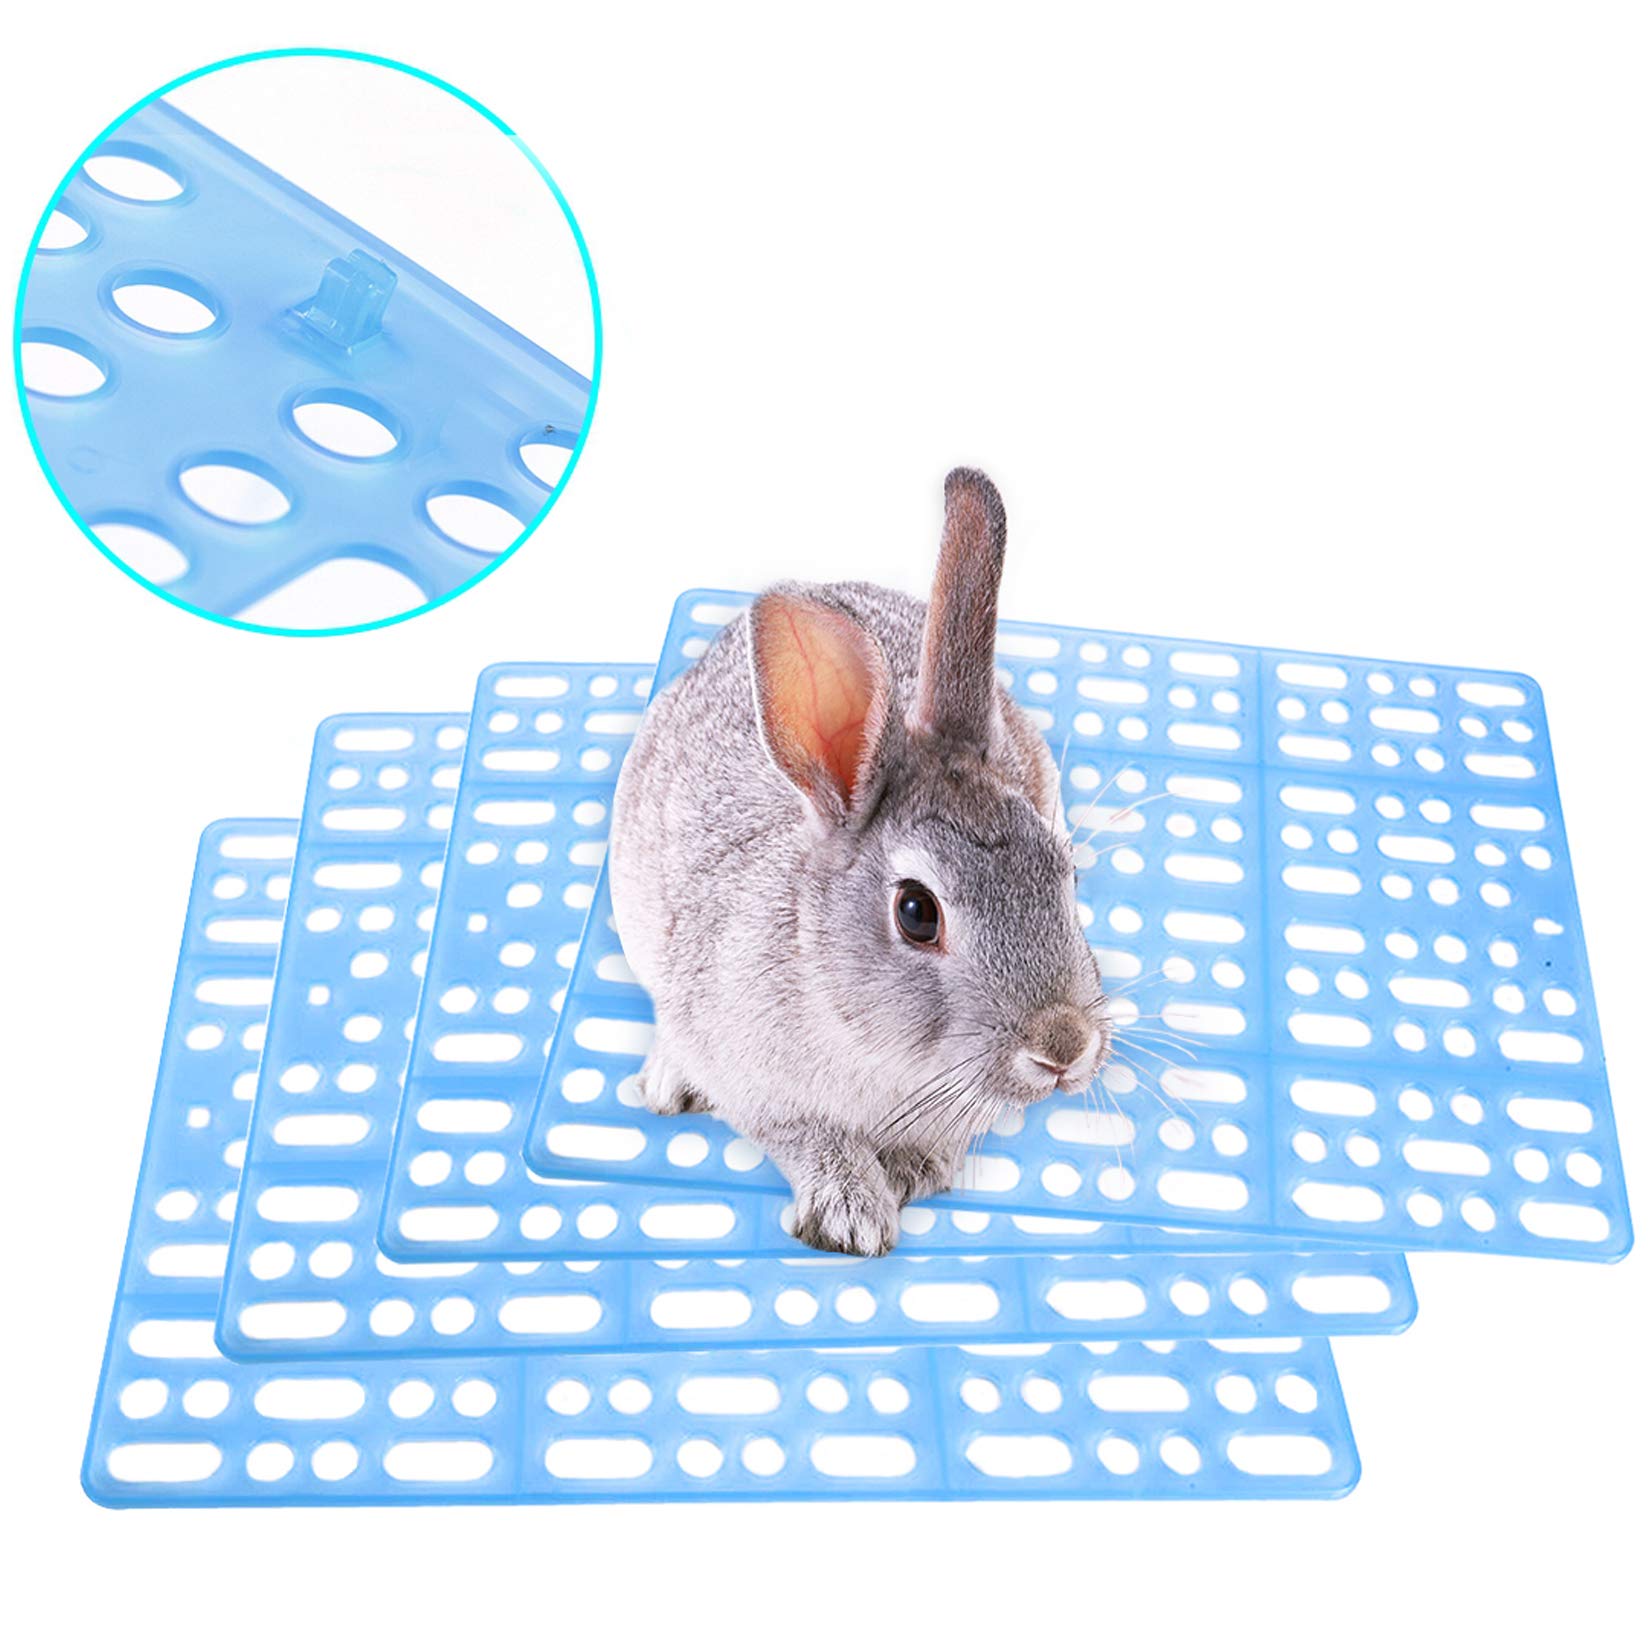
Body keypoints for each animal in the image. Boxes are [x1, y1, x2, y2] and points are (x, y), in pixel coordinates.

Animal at [608, 468, 1111, 1256]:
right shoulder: (760, 1085)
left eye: (1067, 872)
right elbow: (805, 1136)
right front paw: (851, 1214)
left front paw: (908, 1172)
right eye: (916, 913)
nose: (1064, 1046)